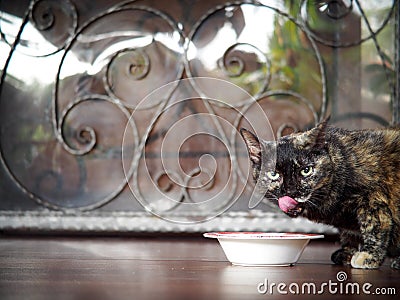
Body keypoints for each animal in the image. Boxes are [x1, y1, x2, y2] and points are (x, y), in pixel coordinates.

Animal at [241, 118, 400, 270]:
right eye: (273, 174)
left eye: (306, 170)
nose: (290, 192)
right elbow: (349, 233)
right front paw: (347, 252)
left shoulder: (372, 199)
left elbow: (375, 227)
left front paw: (369, 256)